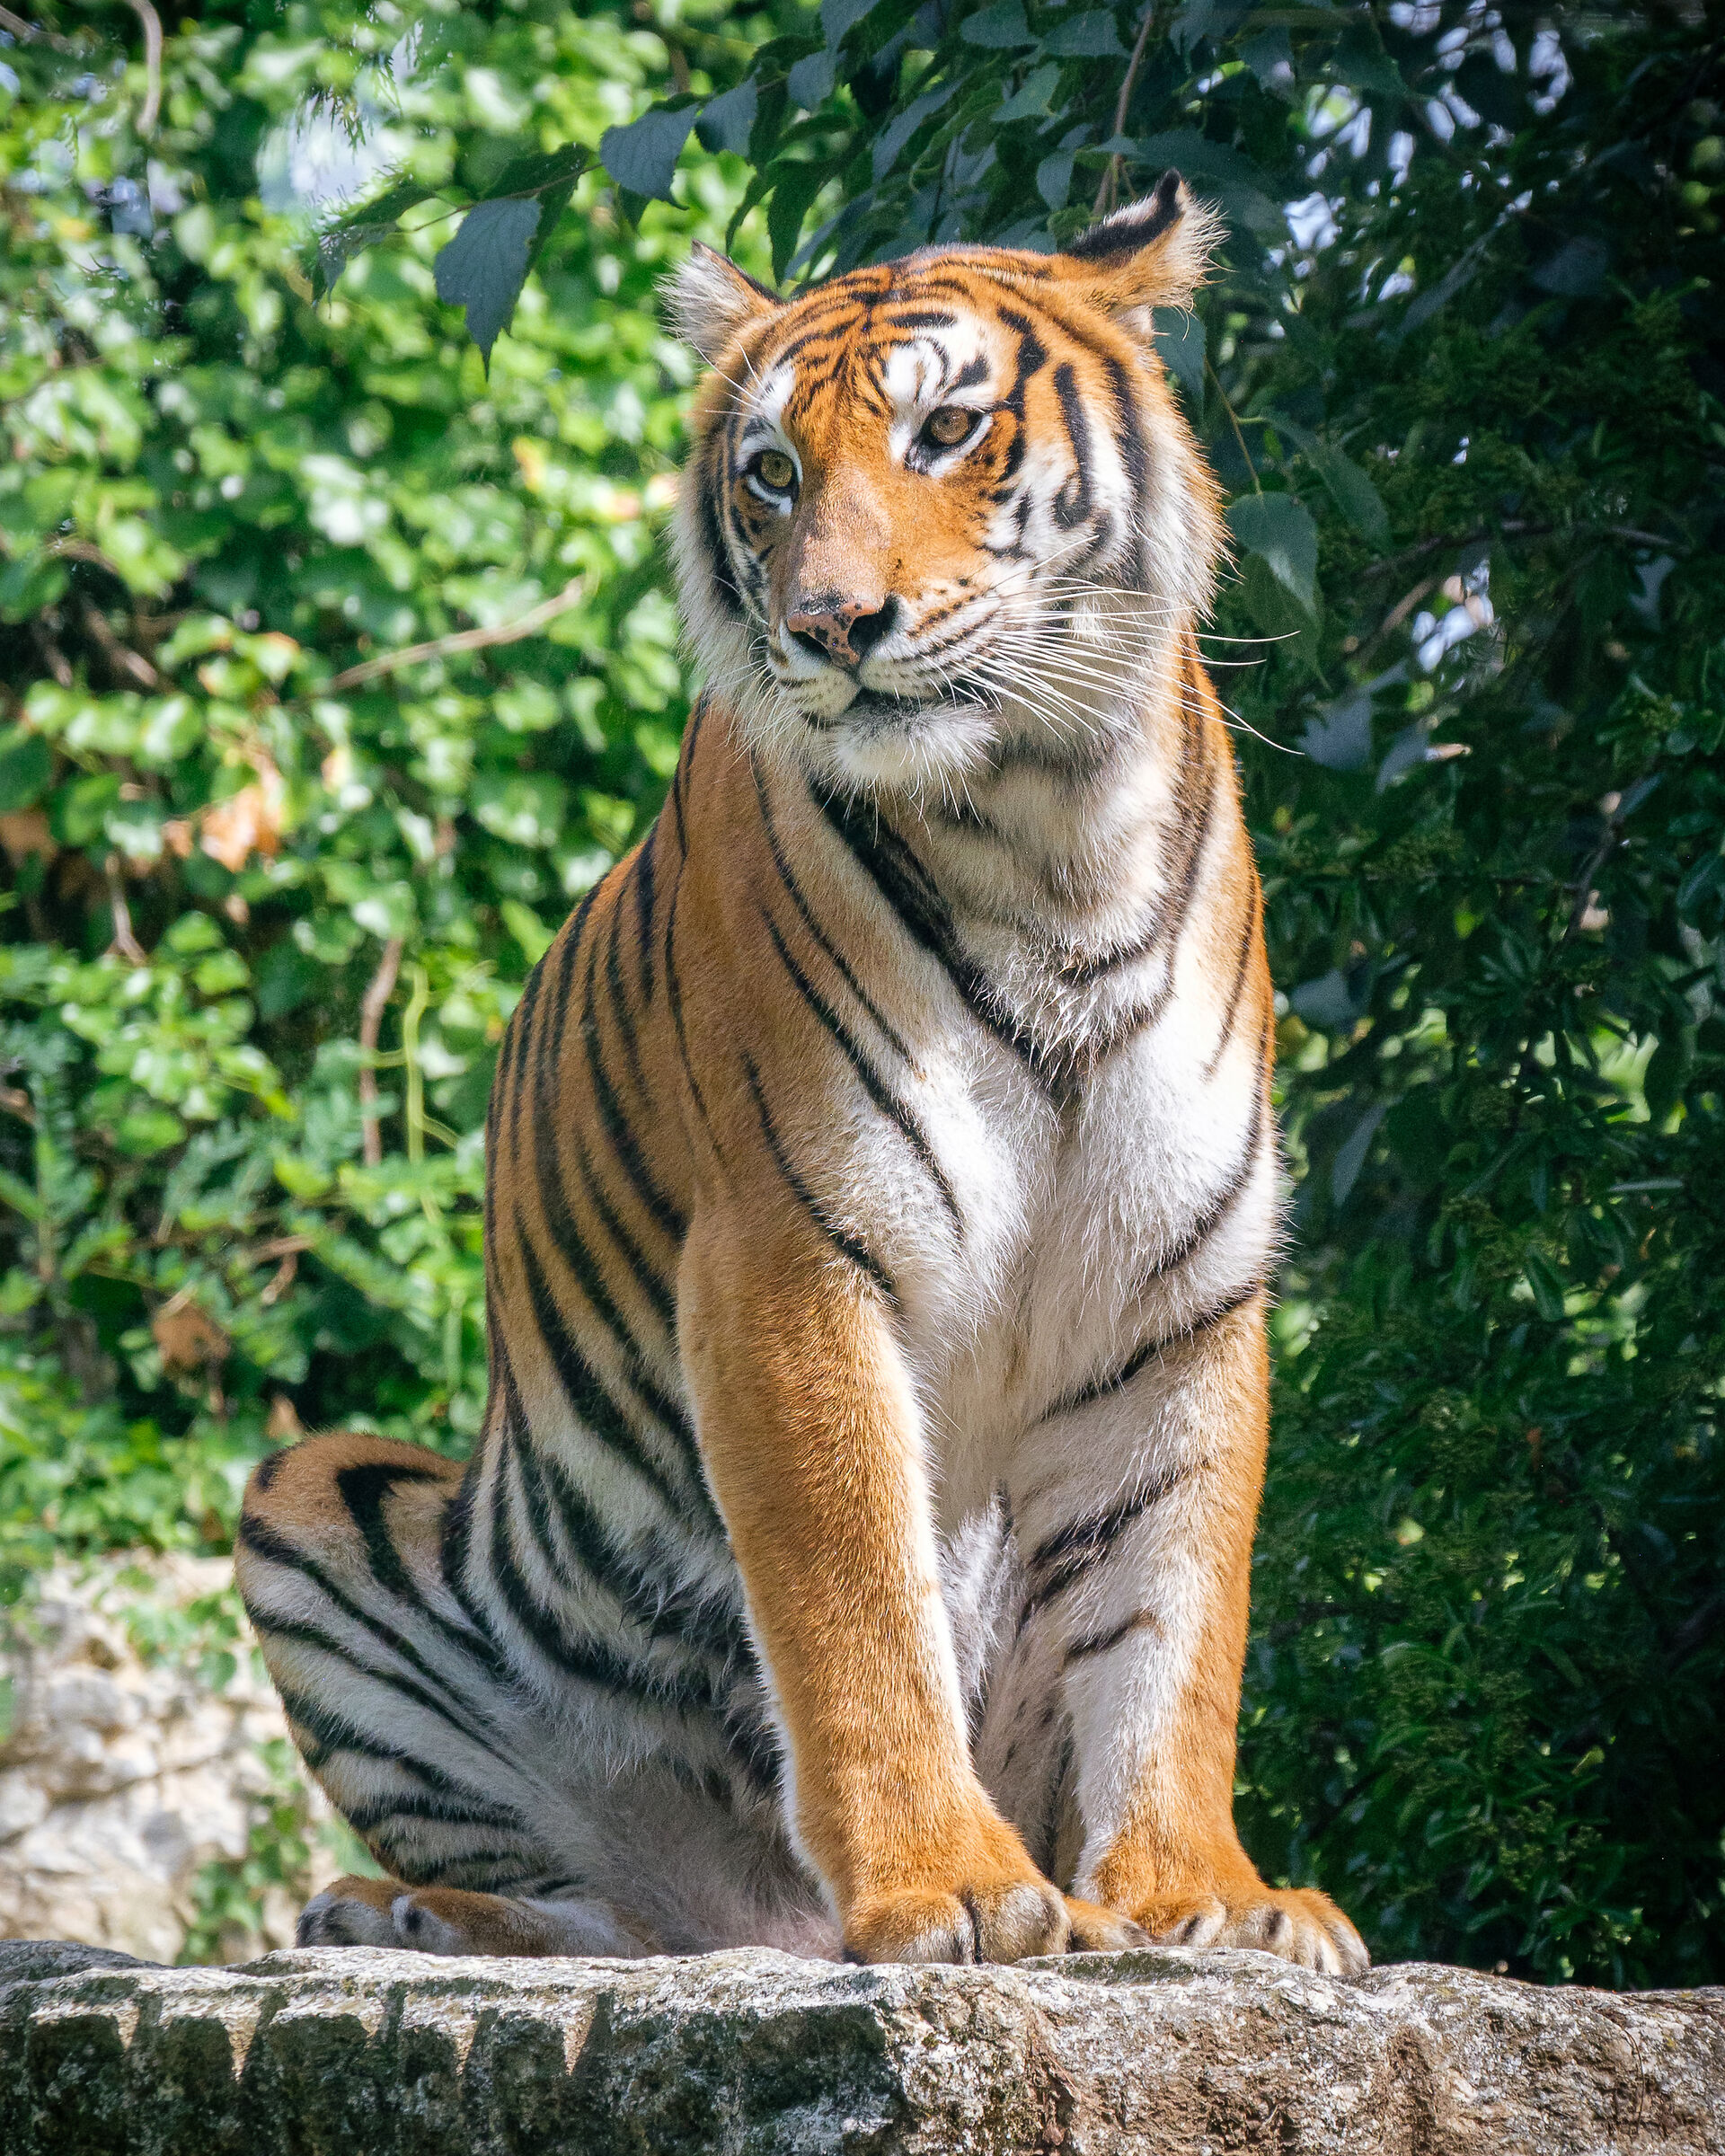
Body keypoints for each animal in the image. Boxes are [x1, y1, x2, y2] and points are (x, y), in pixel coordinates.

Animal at [235, 173, 1368, 1975]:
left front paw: (1206, 1900)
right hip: (313, 1493)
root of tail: (758, 1920)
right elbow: (854, 1607)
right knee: (615, 1907)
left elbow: (1175, 1625)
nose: (835, 626)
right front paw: (949, 1890)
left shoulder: (1181, 1296)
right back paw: (409, 1913)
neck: (1053, 836)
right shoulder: (789, 1257)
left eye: (949, 429)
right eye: (770, 474)